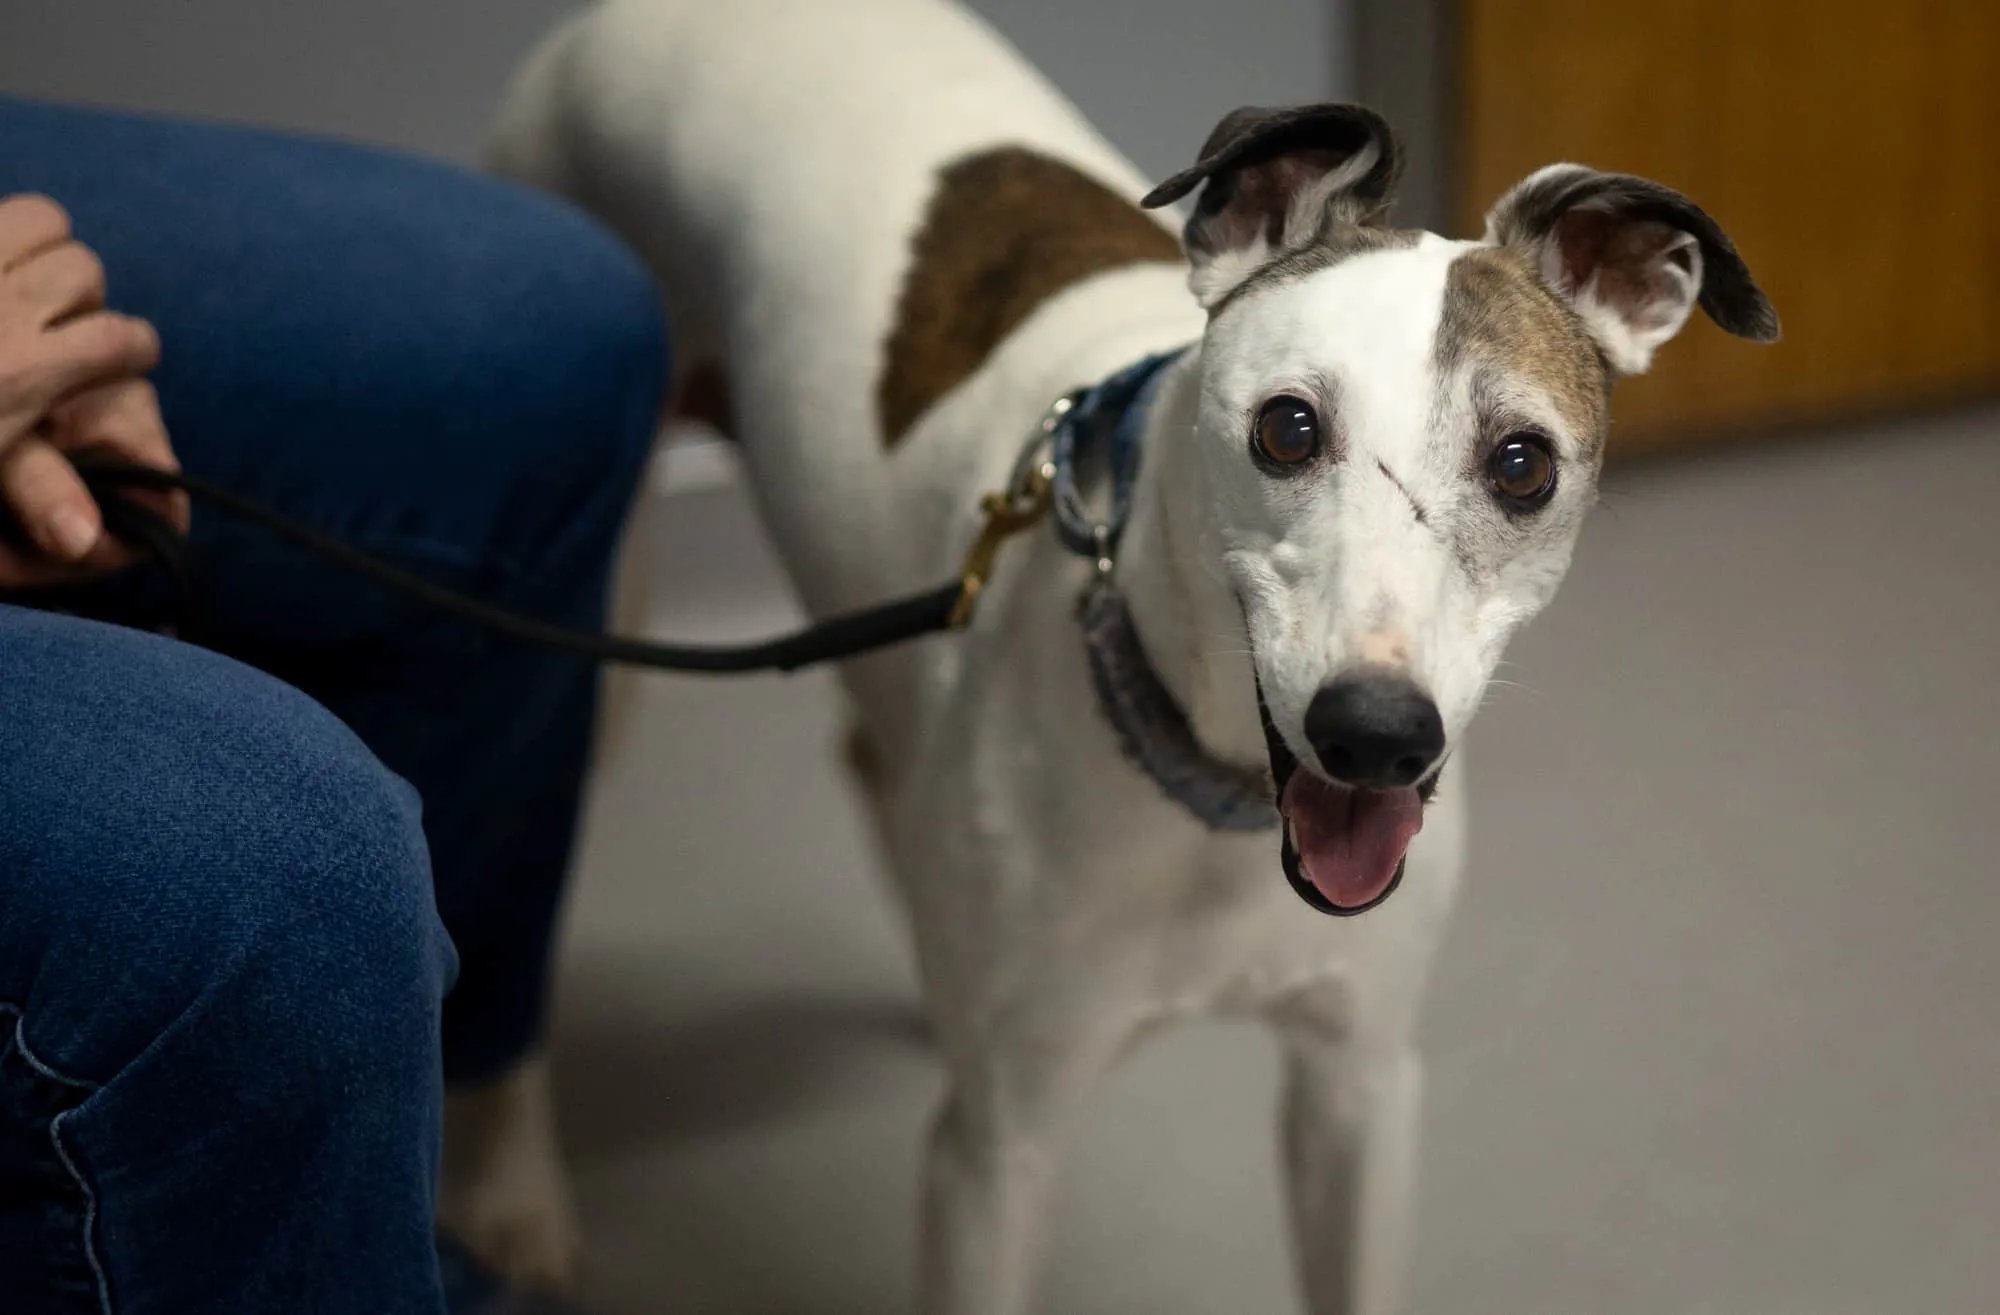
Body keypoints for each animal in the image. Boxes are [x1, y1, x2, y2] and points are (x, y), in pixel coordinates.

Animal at [484, 5, 1784, 1303]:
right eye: (1286, 428)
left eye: (1522, 463)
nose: (1373, 735)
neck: (1210, 803)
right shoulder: (996, 1158)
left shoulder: (1357, 1087)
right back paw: (513, 1201)